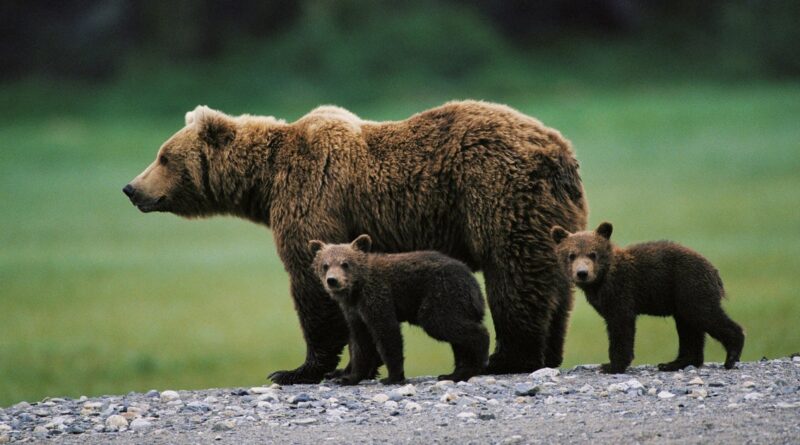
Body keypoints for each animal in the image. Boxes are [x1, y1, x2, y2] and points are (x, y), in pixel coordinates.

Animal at [309, 234, 489, 384]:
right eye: (325, 265)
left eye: (345, 264)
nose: (333, 280)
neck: (355, 291)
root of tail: (474, 283)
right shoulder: (354, 312)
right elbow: (359, 342)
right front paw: (348, 377)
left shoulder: (377, 297)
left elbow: (387, 333)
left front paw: (393, 377)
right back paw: (454, 373)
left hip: (442, 294)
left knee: (444, 324)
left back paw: (475, 362)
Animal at [550, 222, 745, 373]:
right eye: (571, 255)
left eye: (593, 253)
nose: (582, 273)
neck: (600, 281)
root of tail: (714, 270)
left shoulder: (622, 292)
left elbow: (621, 327)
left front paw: (611, 365)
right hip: (682, 299)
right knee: (689, 328)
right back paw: (673, 363)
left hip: (690, 287)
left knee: (705, 315)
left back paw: (732, 355)